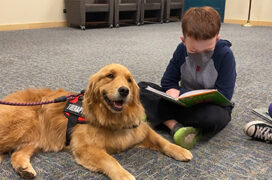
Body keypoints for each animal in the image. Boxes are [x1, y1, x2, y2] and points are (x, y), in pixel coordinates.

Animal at [0, 63, 192, 179]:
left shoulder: (139, 129)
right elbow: (110, 161)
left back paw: (24, 169)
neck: (113, 118)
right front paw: (124, 175)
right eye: (110, 76)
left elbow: (161, 140)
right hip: (21, 125)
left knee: (17, 154)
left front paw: (180, 150)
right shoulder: (86, 147)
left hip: (36, 136)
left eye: (129, 80)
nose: (124, 90)